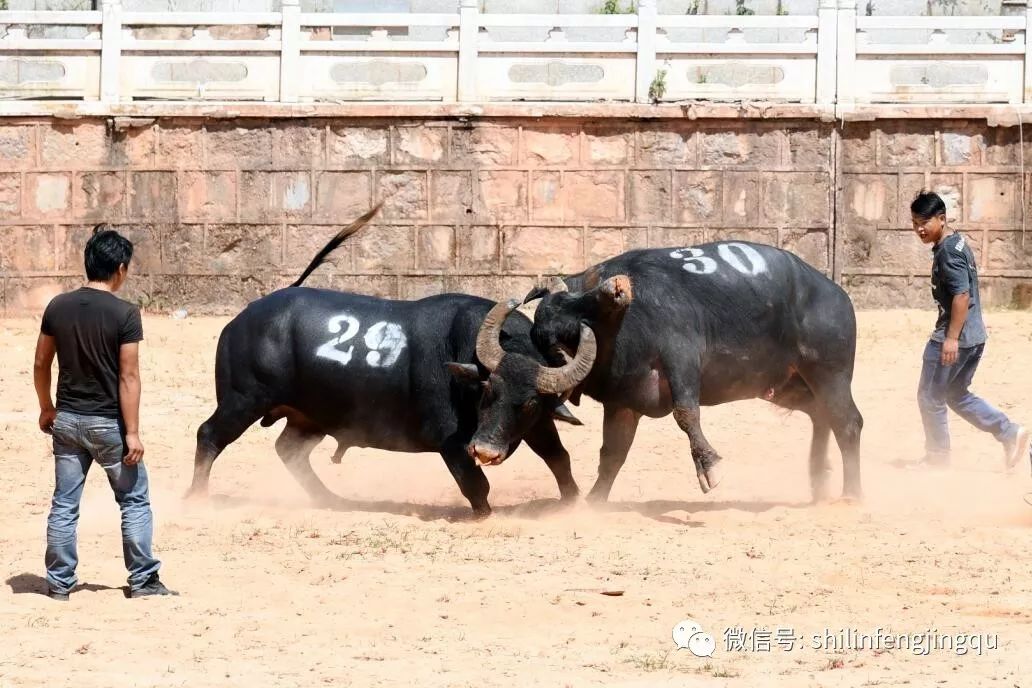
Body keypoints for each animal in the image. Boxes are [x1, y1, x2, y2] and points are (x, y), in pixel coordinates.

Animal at [185, 206, 598, 515]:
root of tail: (242, 320)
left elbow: (559, 459)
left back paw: (330, 499)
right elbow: (476, 486)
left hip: (309, 417)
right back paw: (196, 498)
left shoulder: (538, 423)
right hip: (243, 400)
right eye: (487, 392)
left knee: (289, 451)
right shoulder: (452, 444)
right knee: (209, 435)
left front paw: (574, 503)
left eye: (528, 403)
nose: (485, 450)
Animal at [466, 242, 862, 501]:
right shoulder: (623, 404)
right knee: (821, 416)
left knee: (848, 423)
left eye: (586, 305)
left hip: (829, 374)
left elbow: (685, 412)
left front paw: (710, 467)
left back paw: (851, 495)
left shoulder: (681, 358)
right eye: (490, 392)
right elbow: (612, 454)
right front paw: (593, 501)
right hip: (788, 386)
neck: (622, 333)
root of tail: (836, 295)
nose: (616, 288)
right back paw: (819, 482)